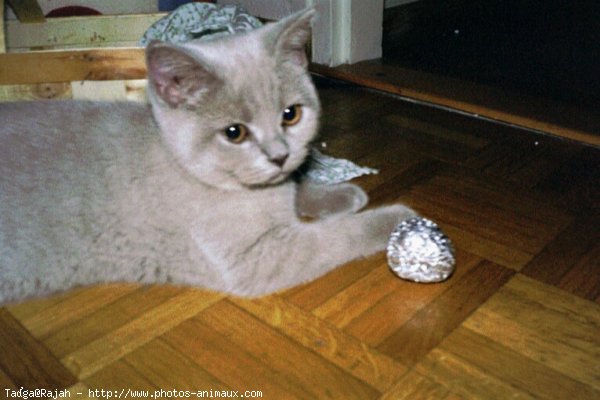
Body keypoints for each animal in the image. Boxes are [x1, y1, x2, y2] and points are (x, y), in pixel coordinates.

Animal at [0, 8, 418, 304]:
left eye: (291, 114)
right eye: (235, 133)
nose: (279, 155)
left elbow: (297, 190)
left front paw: (340, 194)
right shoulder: (256, 257)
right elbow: (336, 236)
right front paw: (397, 219)